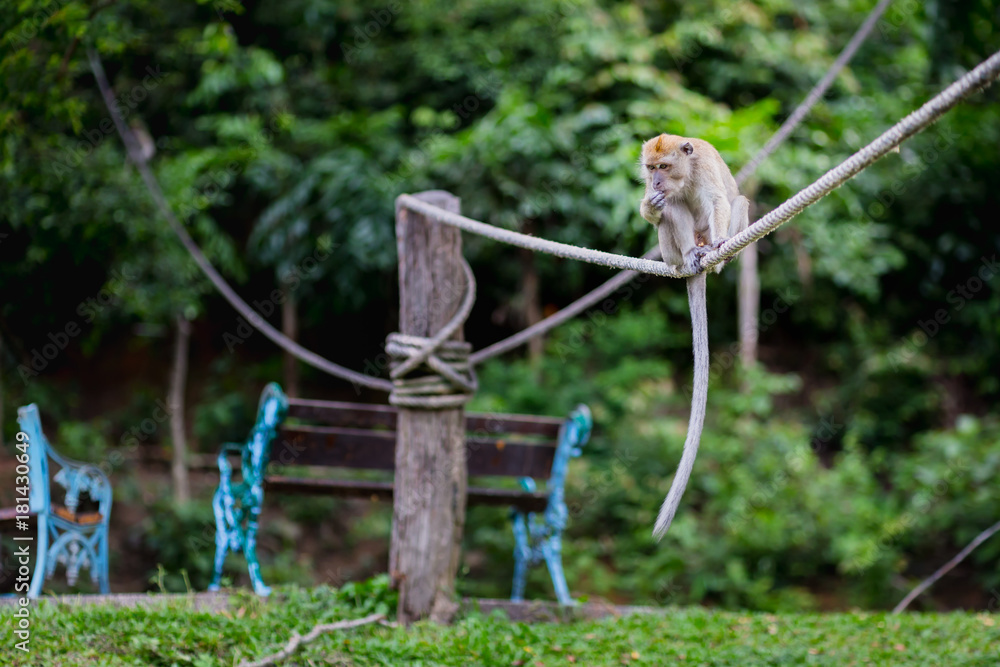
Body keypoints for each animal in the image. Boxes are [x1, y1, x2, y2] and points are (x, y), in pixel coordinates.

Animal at [640, 133, 752, 540]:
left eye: (664, 166)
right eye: (650, 169)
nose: (656, 182)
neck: (683, 172)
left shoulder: (703, 169)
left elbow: (719, 200)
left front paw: (720, 243)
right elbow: (660, 208)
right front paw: (650, 204)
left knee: (739, 201)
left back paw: (714, 253)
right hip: (670, 252)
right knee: (673, 210)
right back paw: (688, 254)